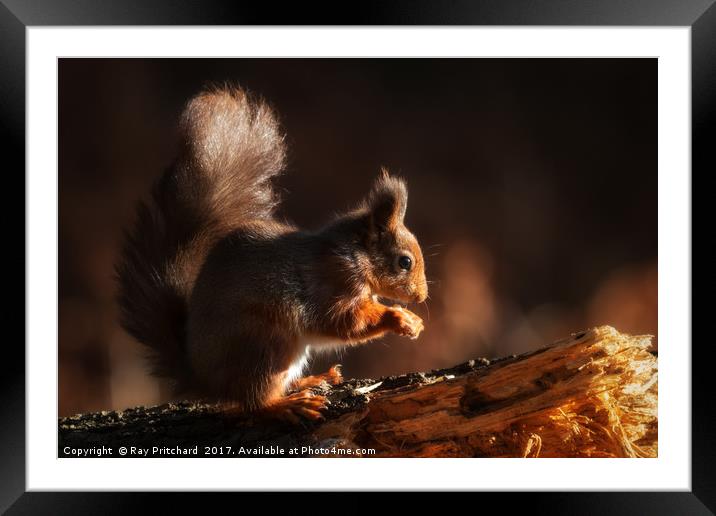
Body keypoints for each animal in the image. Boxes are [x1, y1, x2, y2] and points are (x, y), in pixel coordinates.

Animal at [115, 85, 428, 424]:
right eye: (405, 262)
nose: (422, 297)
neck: (355, 253)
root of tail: (207, 380)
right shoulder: (332, 282)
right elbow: (343, 322)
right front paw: (400, 317)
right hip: (265, 345)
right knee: (254, 400)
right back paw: (287, 405)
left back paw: (311, 380)